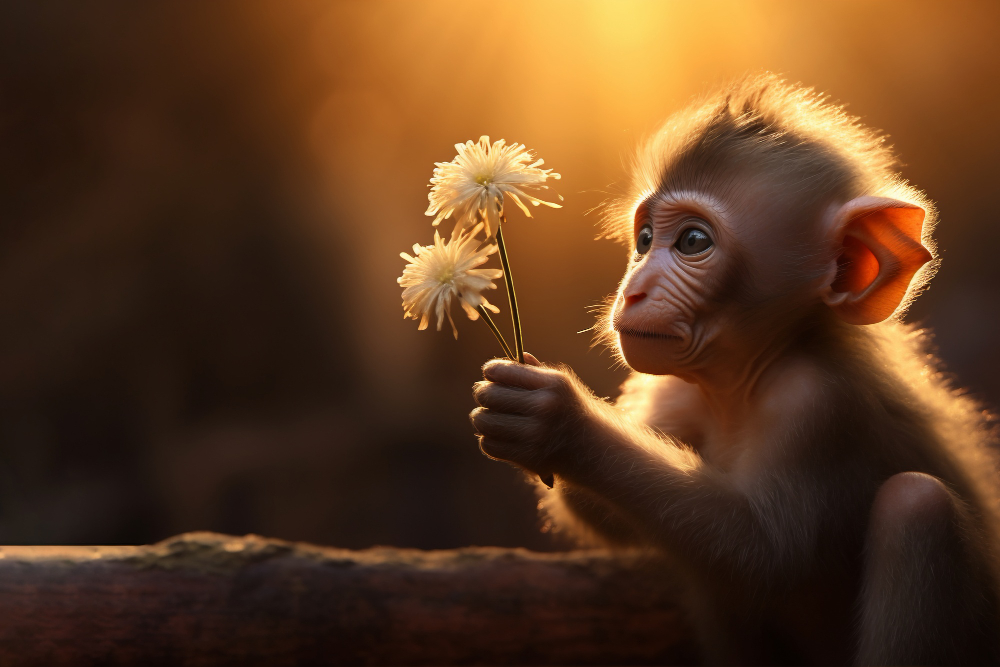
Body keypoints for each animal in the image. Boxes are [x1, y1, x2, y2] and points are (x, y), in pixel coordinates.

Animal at [469, 74, 1000, 665]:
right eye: (645, 240)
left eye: (693, 242)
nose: (634, 291)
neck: (745, 378)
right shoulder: (675, 392)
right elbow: (619, 524)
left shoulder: (814, 401)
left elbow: (764, 553)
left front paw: (559, 423)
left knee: (918, 506)